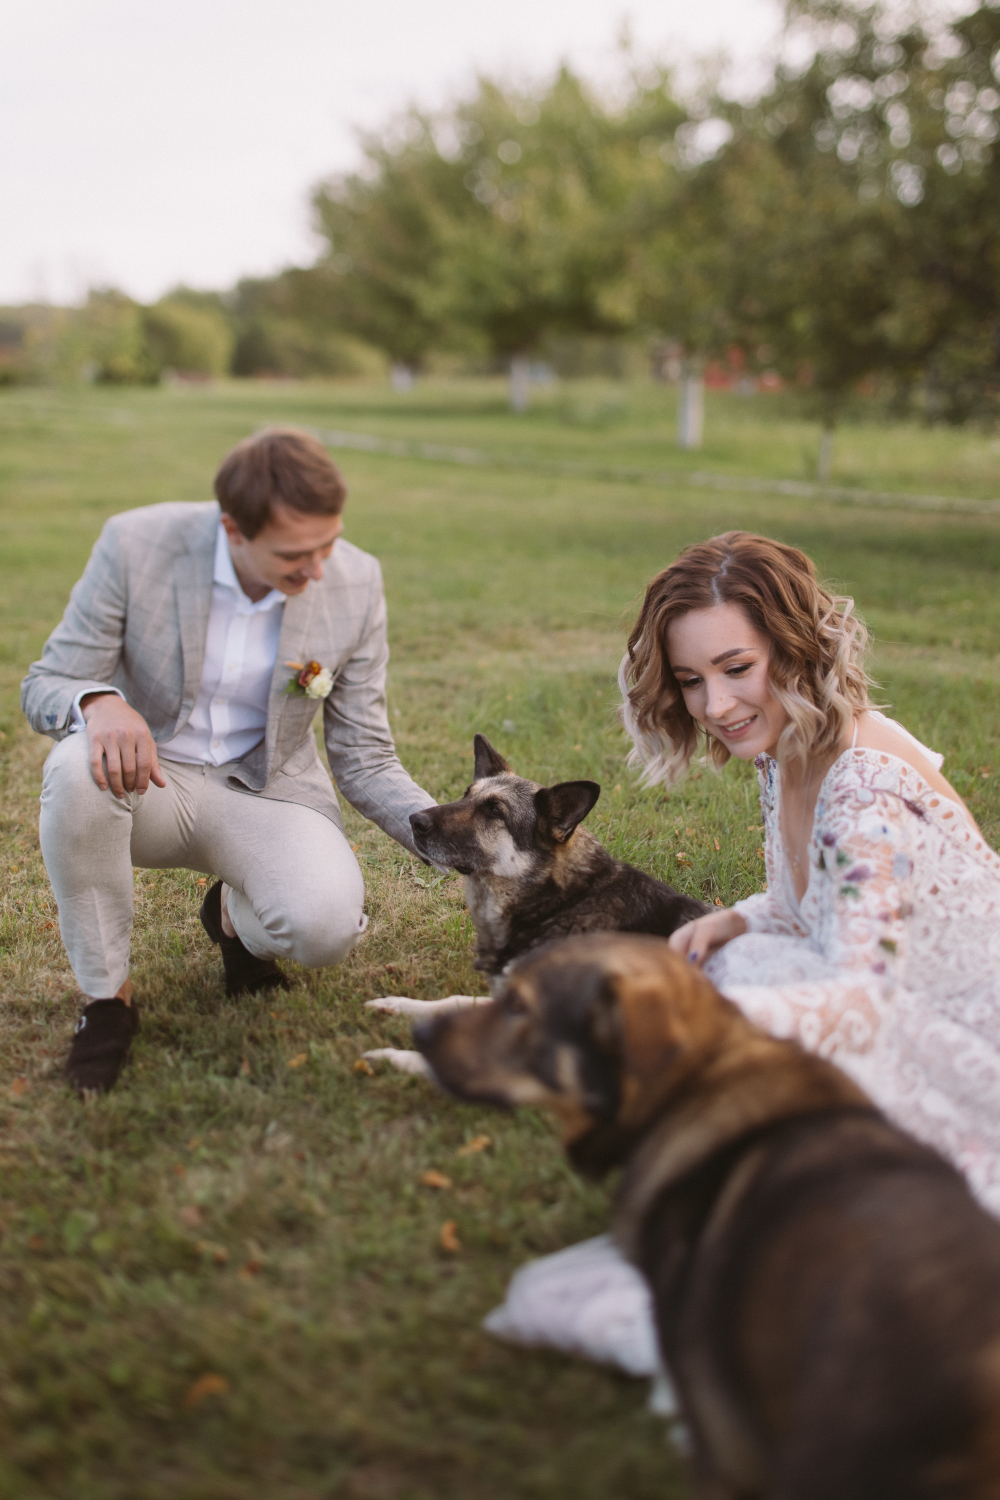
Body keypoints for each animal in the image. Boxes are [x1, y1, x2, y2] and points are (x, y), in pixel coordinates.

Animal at [364, 735, 706, 1072]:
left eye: (494, 811)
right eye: (466, 795)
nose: (414, 820)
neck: (561, 904)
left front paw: (389, 1058)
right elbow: (457, 1001)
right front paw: (398, 1005)